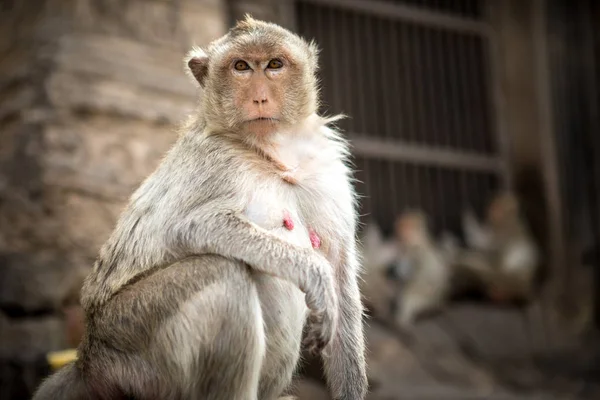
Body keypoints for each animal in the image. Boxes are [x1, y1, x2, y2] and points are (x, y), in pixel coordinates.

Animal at [36, 16, 370, 400]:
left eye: (274, 64)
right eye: (241, 67)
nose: (259, 97)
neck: (271, 153)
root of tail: (87, 359)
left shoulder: (329, 173)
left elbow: (341, 273)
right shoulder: (215, 163)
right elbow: (192, 225)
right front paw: (315, 273)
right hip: (129, 342)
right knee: (222, 273)